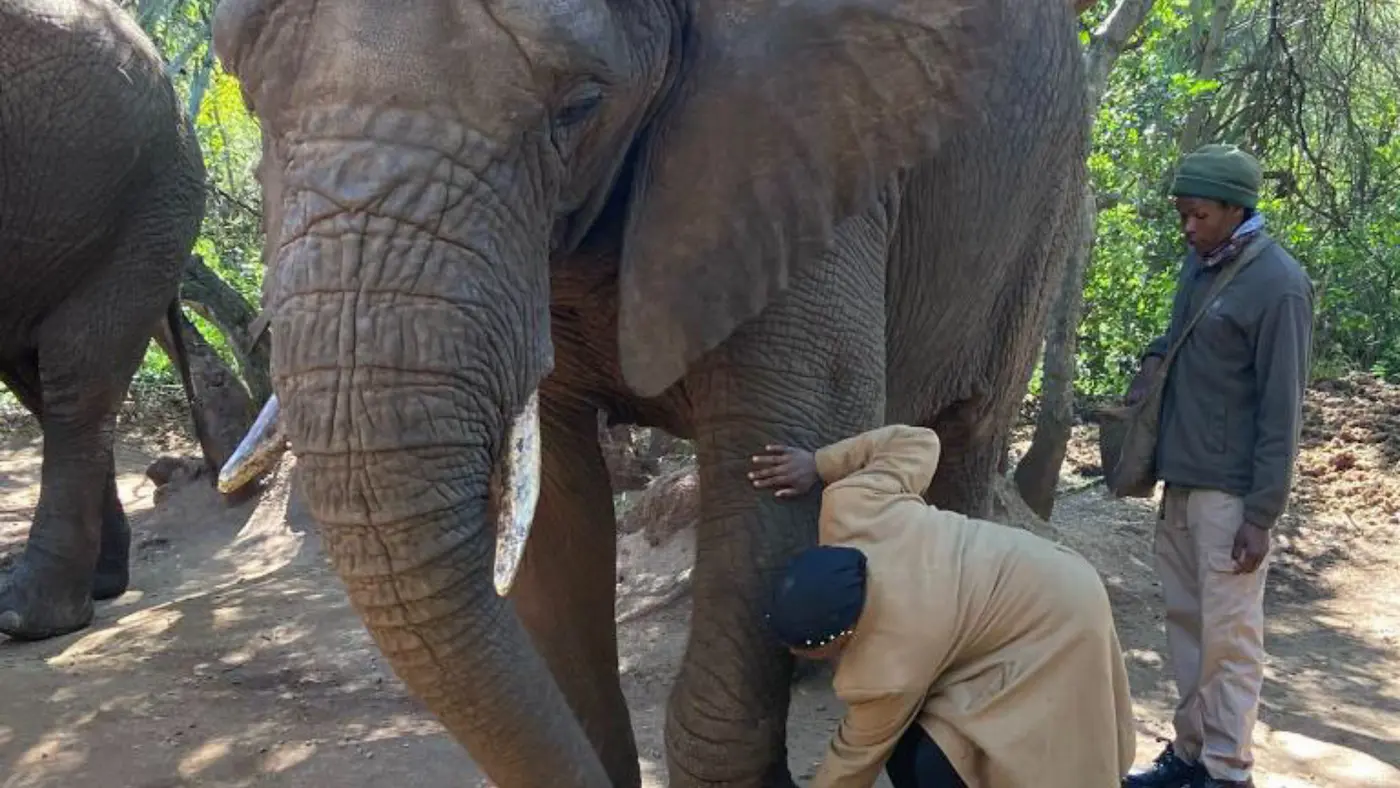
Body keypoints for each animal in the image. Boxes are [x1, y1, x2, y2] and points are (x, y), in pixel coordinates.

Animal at [211, 0, 1088, 784]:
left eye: (580, 106)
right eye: (248, 97)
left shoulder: (807, 141)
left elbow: (787, 438)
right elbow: (555, 507)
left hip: (1047, 199)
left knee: (968, 438)